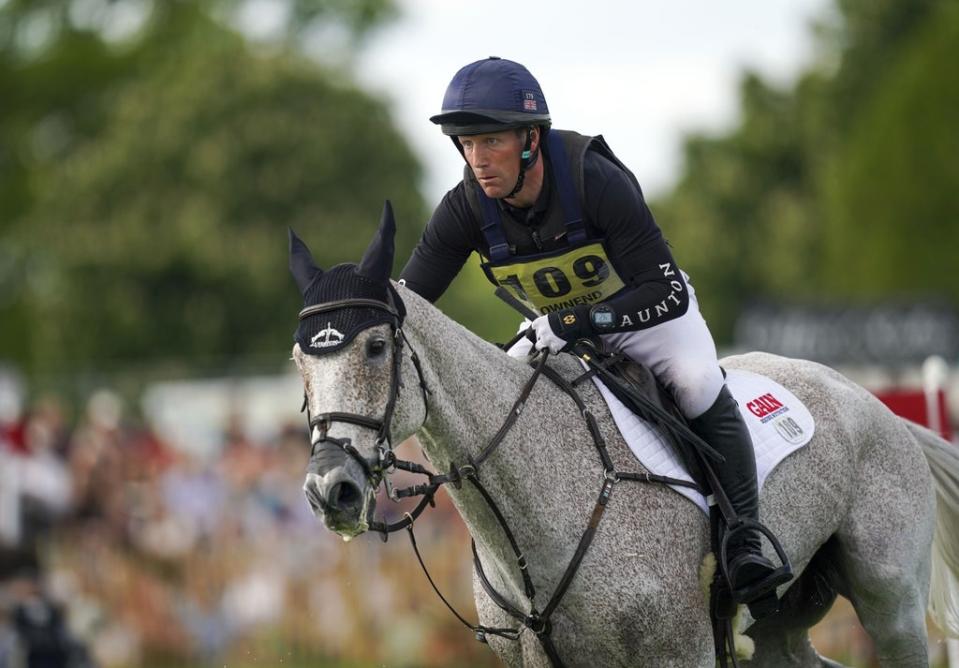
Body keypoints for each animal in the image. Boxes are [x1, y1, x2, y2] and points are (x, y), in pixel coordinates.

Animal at [288, 205, 959, 668]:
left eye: (376, 347)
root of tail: (876, 404)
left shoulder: (678, 652)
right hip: (780, 625)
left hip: (891, 602)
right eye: (299, 361)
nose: (329, 491)